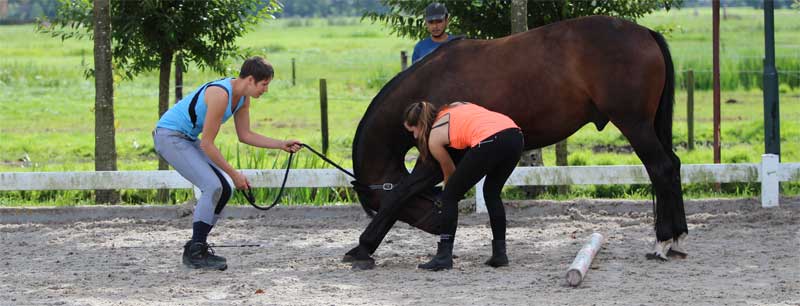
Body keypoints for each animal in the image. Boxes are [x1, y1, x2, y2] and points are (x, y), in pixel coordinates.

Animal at [344, 14, 688, 268]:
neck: (433, 82)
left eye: (375, 204)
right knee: (671, 166)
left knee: (661, 169)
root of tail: (646, 33)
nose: (439, 224)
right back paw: (676, 239)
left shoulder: (439, 158)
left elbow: (400, 192)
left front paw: (362, 248)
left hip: (635, 124)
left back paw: (663, 241)